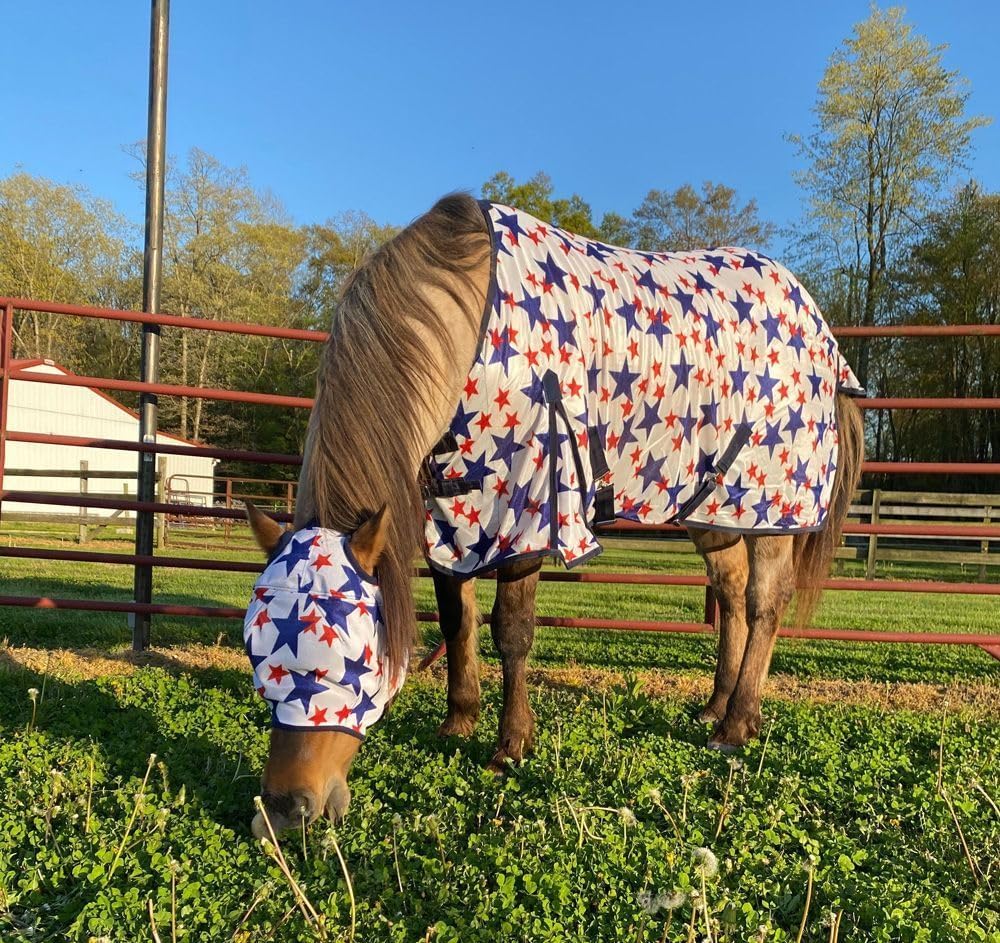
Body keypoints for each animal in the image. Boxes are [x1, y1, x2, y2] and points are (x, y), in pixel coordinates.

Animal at [245, 193, 864, 836]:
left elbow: (512, 630)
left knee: (766, 599)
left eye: (352, 658)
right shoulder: (447, 512)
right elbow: (457, 620)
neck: (470, 332)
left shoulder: (530, 508)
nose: (284, 813)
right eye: (254, 650)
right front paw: (459, 720)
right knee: (733, 593)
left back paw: (737, 724)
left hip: (774, 501)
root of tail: (821, 330)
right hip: (717, 511)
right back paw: (714, 706)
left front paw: (510, 745)